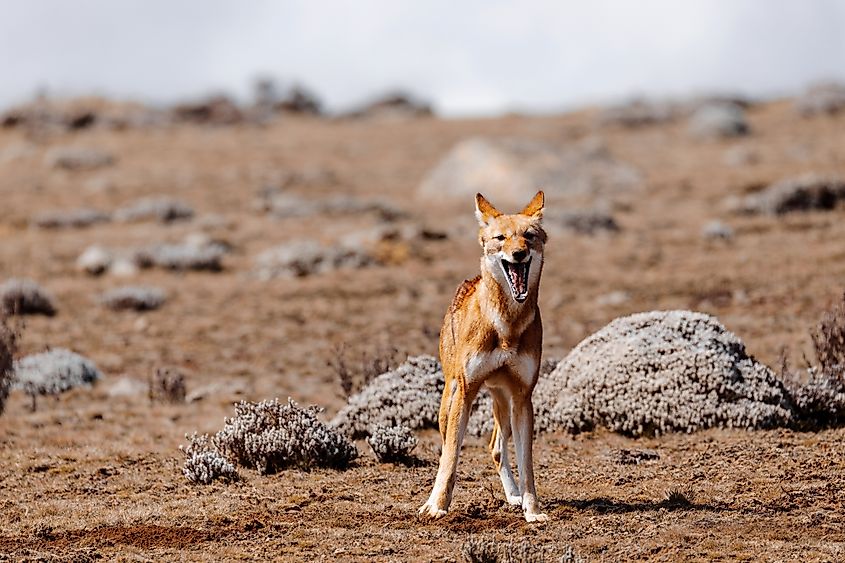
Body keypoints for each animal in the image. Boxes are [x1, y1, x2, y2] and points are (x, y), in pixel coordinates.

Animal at [419, 190, 548, 523]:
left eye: (528, 236)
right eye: (501, 238)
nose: (518, 254)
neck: (506, 326)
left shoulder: (523, 397)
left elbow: (527, 464)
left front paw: (532, 510)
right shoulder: (465, 393)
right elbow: (451, 457)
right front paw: (438, 506)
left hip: (503, 403)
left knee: (496, 447)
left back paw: (514, 496)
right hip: (450, 401)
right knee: (449, 447)